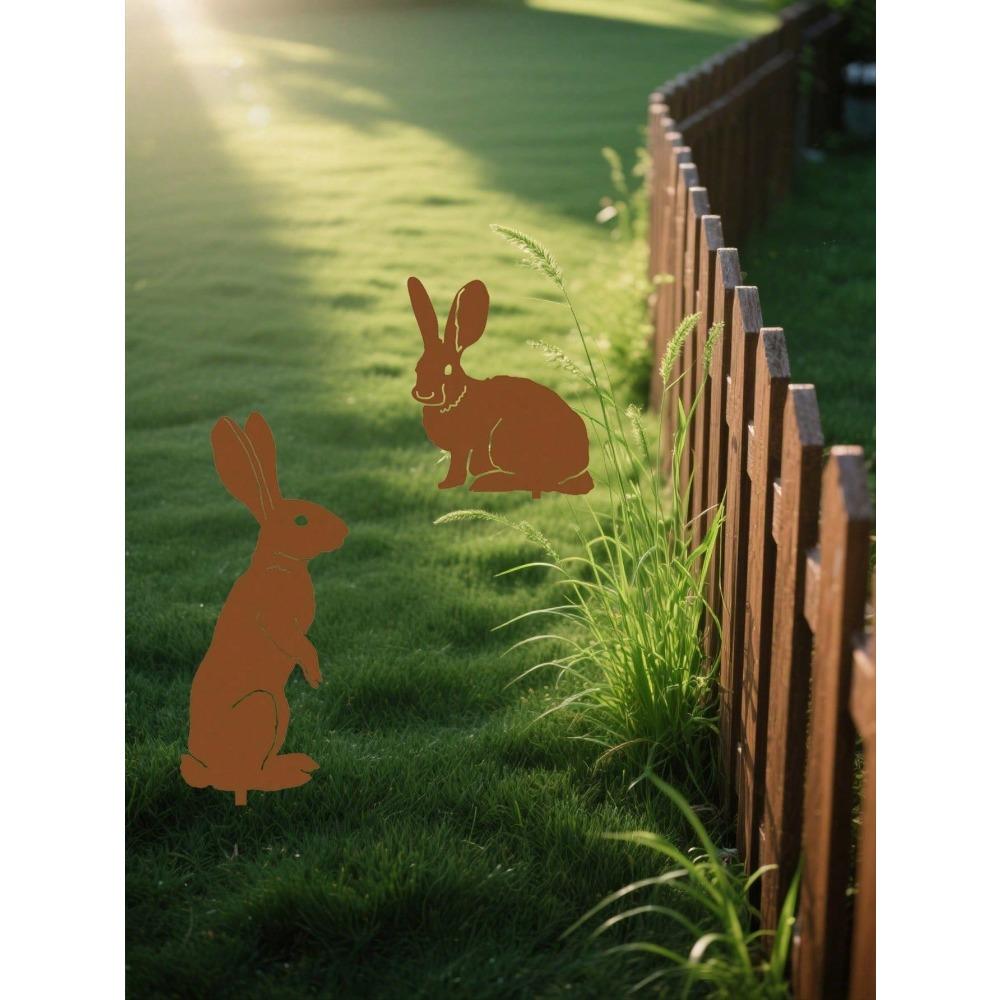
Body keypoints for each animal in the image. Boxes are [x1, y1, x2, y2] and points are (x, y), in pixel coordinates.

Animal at [179, 412, 348, 806]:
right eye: (301, 520)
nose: (344, 532)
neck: (281, 560)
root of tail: (202, 764)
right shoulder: (276, 615)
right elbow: (295, 640)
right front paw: (315, 676)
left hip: (280, 710)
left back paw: (296, 765)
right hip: (261, 707)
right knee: (242, 776)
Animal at [407, 276, 594, 499]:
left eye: (447, 369)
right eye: (418, 368)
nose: (424, 393)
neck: (456, 397)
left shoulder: (465, 446)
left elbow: (459, 467)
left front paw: (449, 483)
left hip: (504, 439)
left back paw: (488, 482)